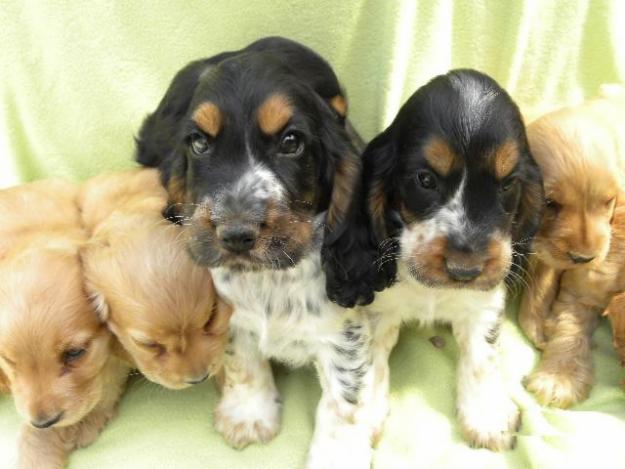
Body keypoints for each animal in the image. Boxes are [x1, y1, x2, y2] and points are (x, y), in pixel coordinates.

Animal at [135, 37, 380, 468]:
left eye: (291, 142)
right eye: (199, 142)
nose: (235, 234)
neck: (272, 278)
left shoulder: (342, 329)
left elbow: (343, 398)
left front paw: (337, 453)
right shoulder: (229, 315)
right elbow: (242, 360)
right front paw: (248, 414)